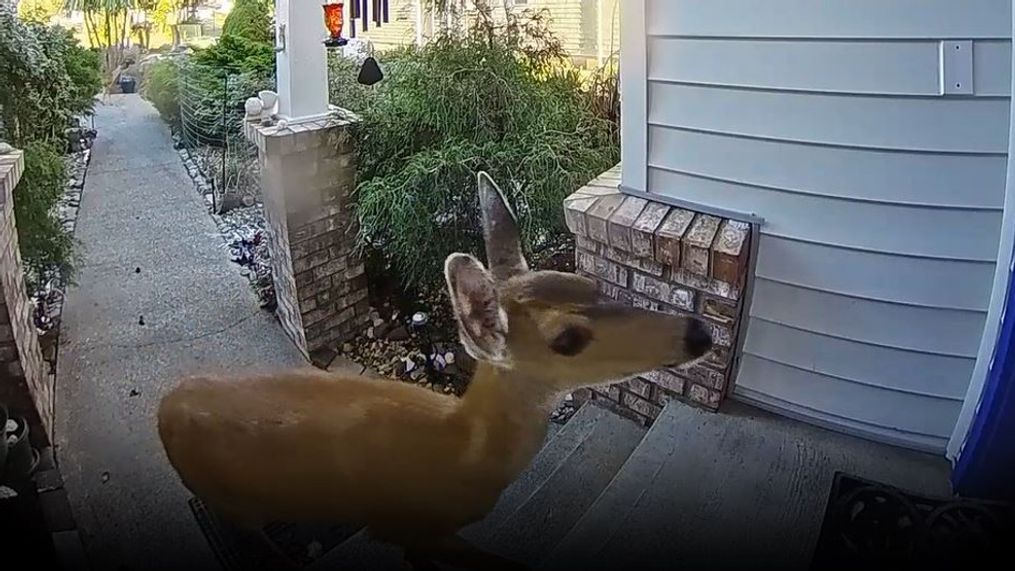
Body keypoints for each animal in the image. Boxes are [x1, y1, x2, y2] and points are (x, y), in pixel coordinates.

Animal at [158, 172, 714, 567]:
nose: (699, 333)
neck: (458, 452)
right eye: (567, 339)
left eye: (591, 285)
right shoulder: (410, 527)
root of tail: (166, 405)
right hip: (226, 500)